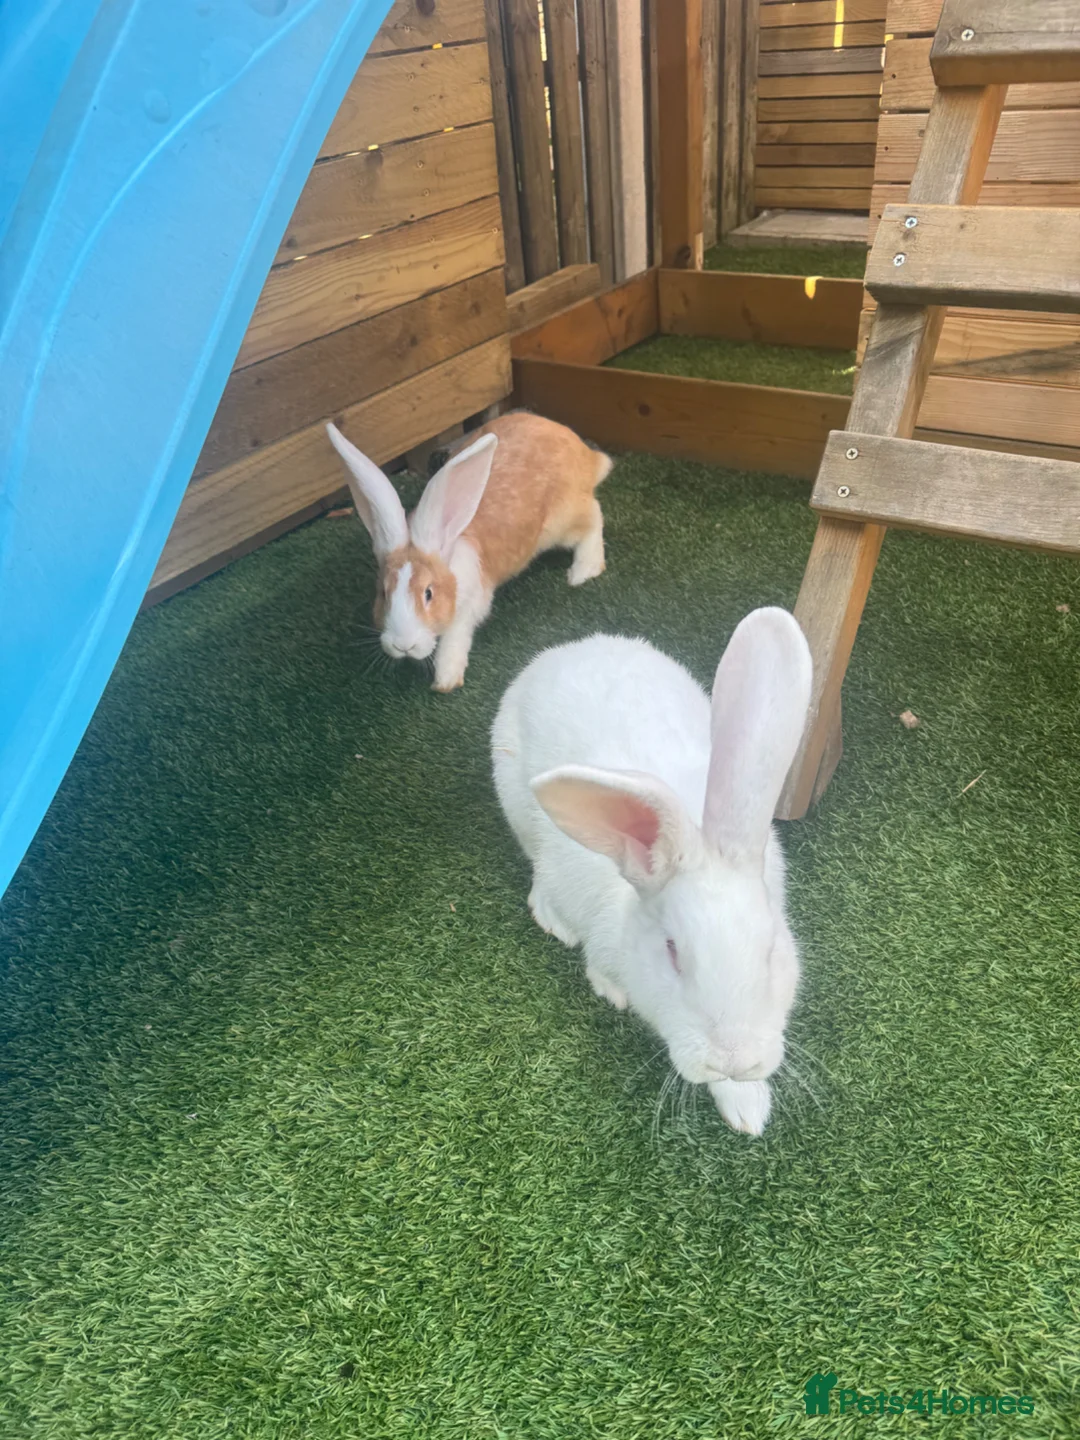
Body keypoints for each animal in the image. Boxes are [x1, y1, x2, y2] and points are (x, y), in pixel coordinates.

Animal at [326, 411, 612, 692]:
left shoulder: (470, 606)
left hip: (561, 522)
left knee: (594, 516)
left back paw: (584, 570)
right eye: (383, 594)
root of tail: (586, 456)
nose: (403, 645)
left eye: (428, 593)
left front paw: (445, 680)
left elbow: (454, 639)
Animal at [491, 608, 813, 1136]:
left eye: (771, 952)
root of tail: (569, 649)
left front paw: (748, 1106)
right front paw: (612, 990)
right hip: (517, 805)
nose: (732, 1060)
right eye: (673, 953)